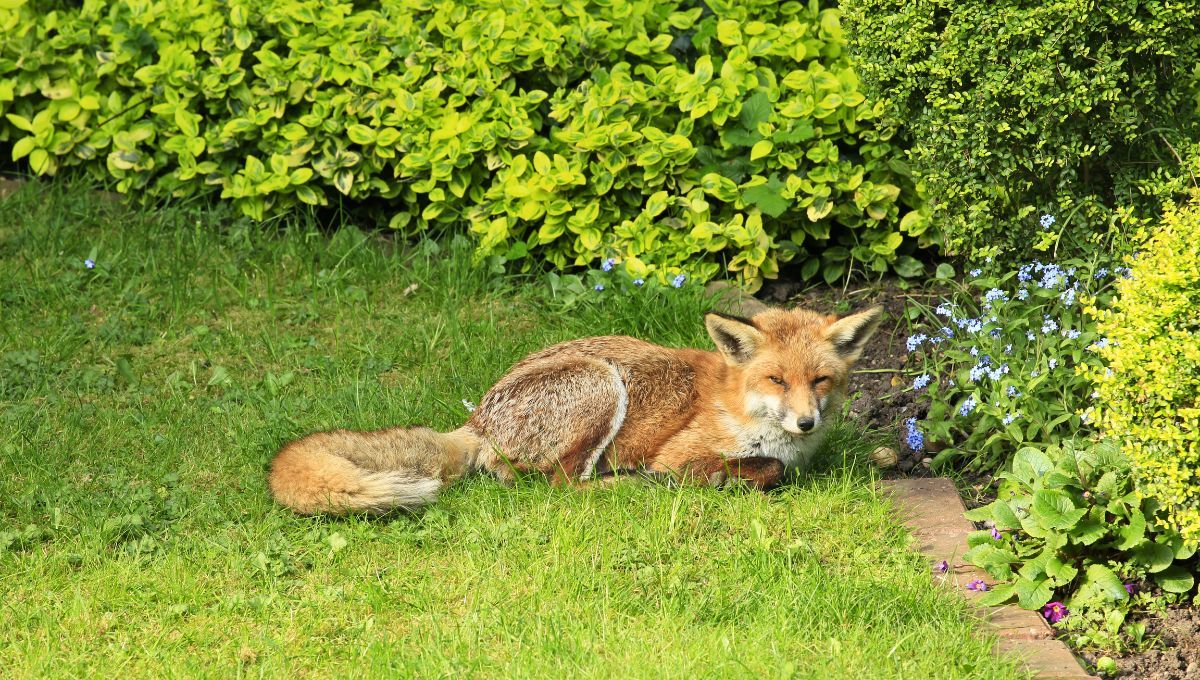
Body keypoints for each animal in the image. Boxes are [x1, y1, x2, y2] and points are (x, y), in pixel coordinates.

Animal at [268, 305, 882, 515]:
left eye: (820, 380)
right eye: (777, 379)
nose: (806, 421)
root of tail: (478, 419)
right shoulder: (680, 454)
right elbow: (767, 470)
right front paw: (728, 481)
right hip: (600, 384)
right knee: (556, 486)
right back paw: (627, 484)